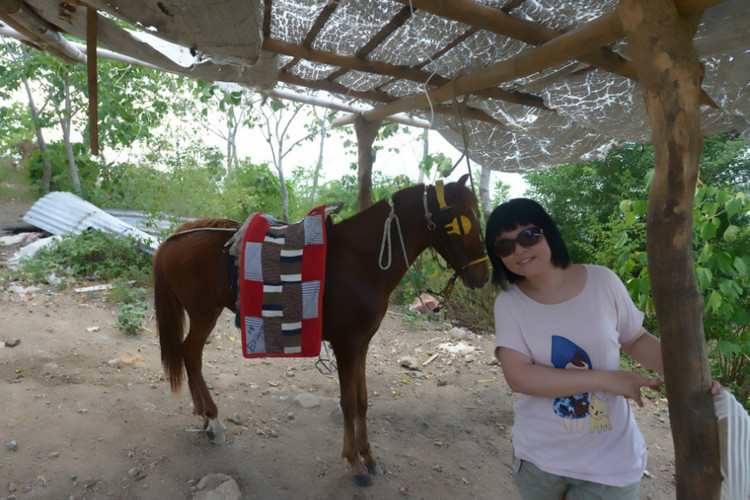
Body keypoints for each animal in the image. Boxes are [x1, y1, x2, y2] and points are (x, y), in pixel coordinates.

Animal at [153, 174, 494, 486]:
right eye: (463, 219)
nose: (483, 276)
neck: (361, 261)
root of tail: (174, 237)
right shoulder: (346, 344)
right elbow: (348, 402)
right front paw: (355, 462)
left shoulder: (362, 344)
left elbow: (362, 400)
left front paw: (370, 456)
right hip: (203, 314)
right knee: (190, 354)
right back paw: (213, 419)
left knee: (189, 354)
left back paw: (205, 417)